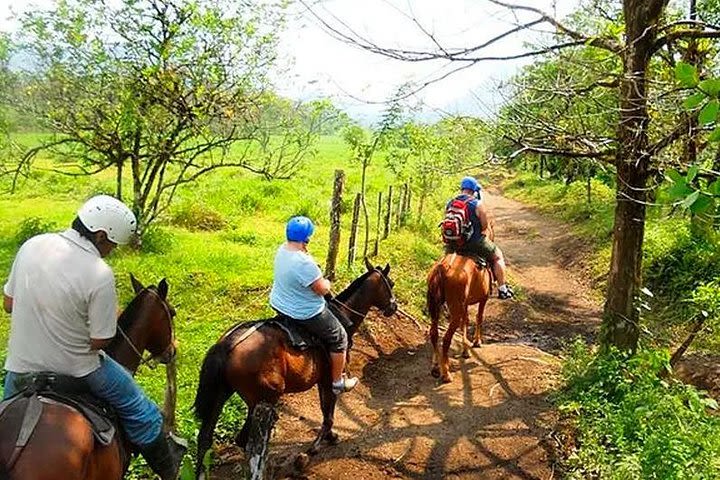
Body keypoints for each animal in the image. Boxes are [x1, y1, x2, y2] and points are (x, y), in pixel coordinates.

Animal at [194, 260, 396, 478]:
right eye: (391, 284)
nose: (393, 307)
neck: (345, 315)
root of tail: (227, 344)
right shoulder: (330, 379)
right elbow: (329, 411)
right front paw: (320, 443)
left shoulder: (321, 380)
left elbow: (325, 409)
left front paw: (329, 436)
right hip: (265, 397)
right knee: (244, 439)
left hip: (223, 394)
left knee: (206, 438)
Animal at [428, 253, 496, 384]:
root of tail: (443, 267)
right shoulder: (483, 299)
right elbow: (479, 318)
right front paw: (477, 341)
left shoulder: (464, 304)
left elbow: (465, 322)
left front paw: (465, 350)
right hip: (456, 310)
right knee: (446, 339)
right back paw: (446, 374)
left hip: (436, 309)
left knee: (434, 334)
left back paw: (435, 367)